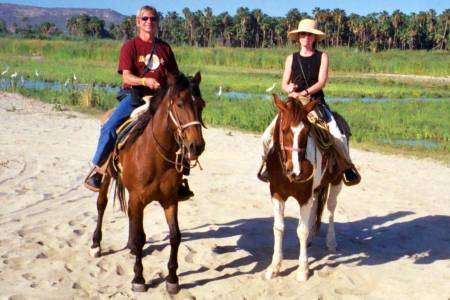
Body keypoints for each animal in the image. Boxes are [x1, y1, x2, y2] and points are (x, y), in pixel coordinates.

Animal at [89, 71, 206, 294]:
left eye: (202, 105)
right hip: (106, 176)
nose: (197, 146)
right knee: (101, 205)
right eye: (179, 104)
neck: (155, 154)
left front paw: (172, 279)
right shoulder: (139, 198)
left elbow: (175, 236)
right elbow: (140, 238)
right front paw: (138, 278)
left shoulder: (170, 200)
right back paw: (96, 245)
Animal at [264, 95, 344, 282]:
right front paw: (274, 267)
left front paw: (303, 269)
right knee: (316, 207)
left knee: (331, 209)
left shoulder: (304, 196)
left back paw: (331, 242)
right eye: (284, 130)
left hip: (336, 182)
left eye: (307, 132)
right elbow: (278, 228)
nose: (296, 171)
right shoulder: (277, 194)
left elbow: (302, 230)